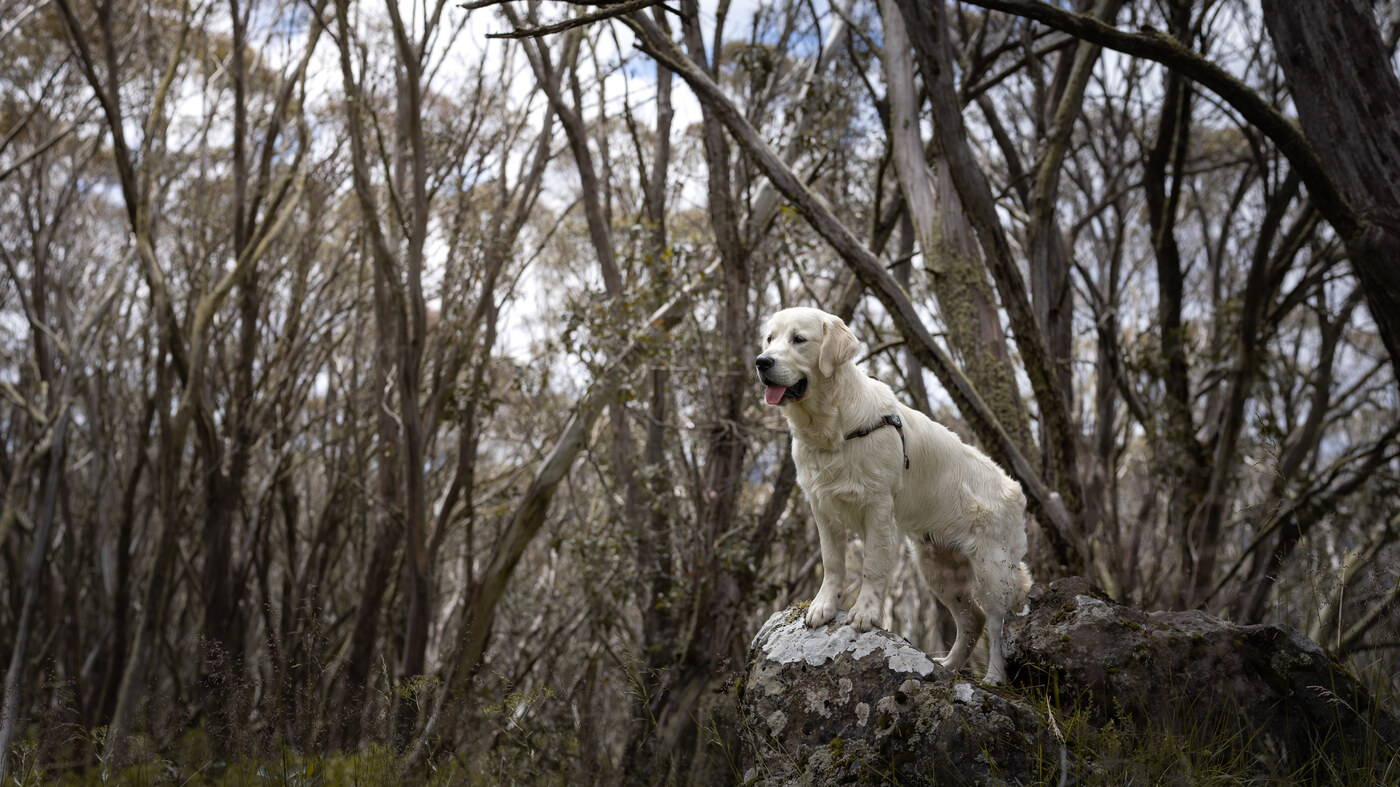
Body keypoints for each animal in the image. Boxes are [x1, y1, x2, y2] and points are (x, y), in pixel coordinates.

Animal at [756, 307, 1032, 683]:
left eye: (799, 339)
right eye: (770, 339)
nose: (762, 362)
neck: (833, 428)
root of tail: (1015, 490)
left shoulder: (878, 508)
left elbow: (872, 566)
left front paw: (865, 613)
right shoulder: (821, 507)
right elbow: (832, 562)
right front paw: (824, 606)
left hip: (992, 570)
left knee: (997, 622)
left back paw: (993, 677)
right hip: (939, 569)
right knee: (972, 619)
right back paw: (947, 668)